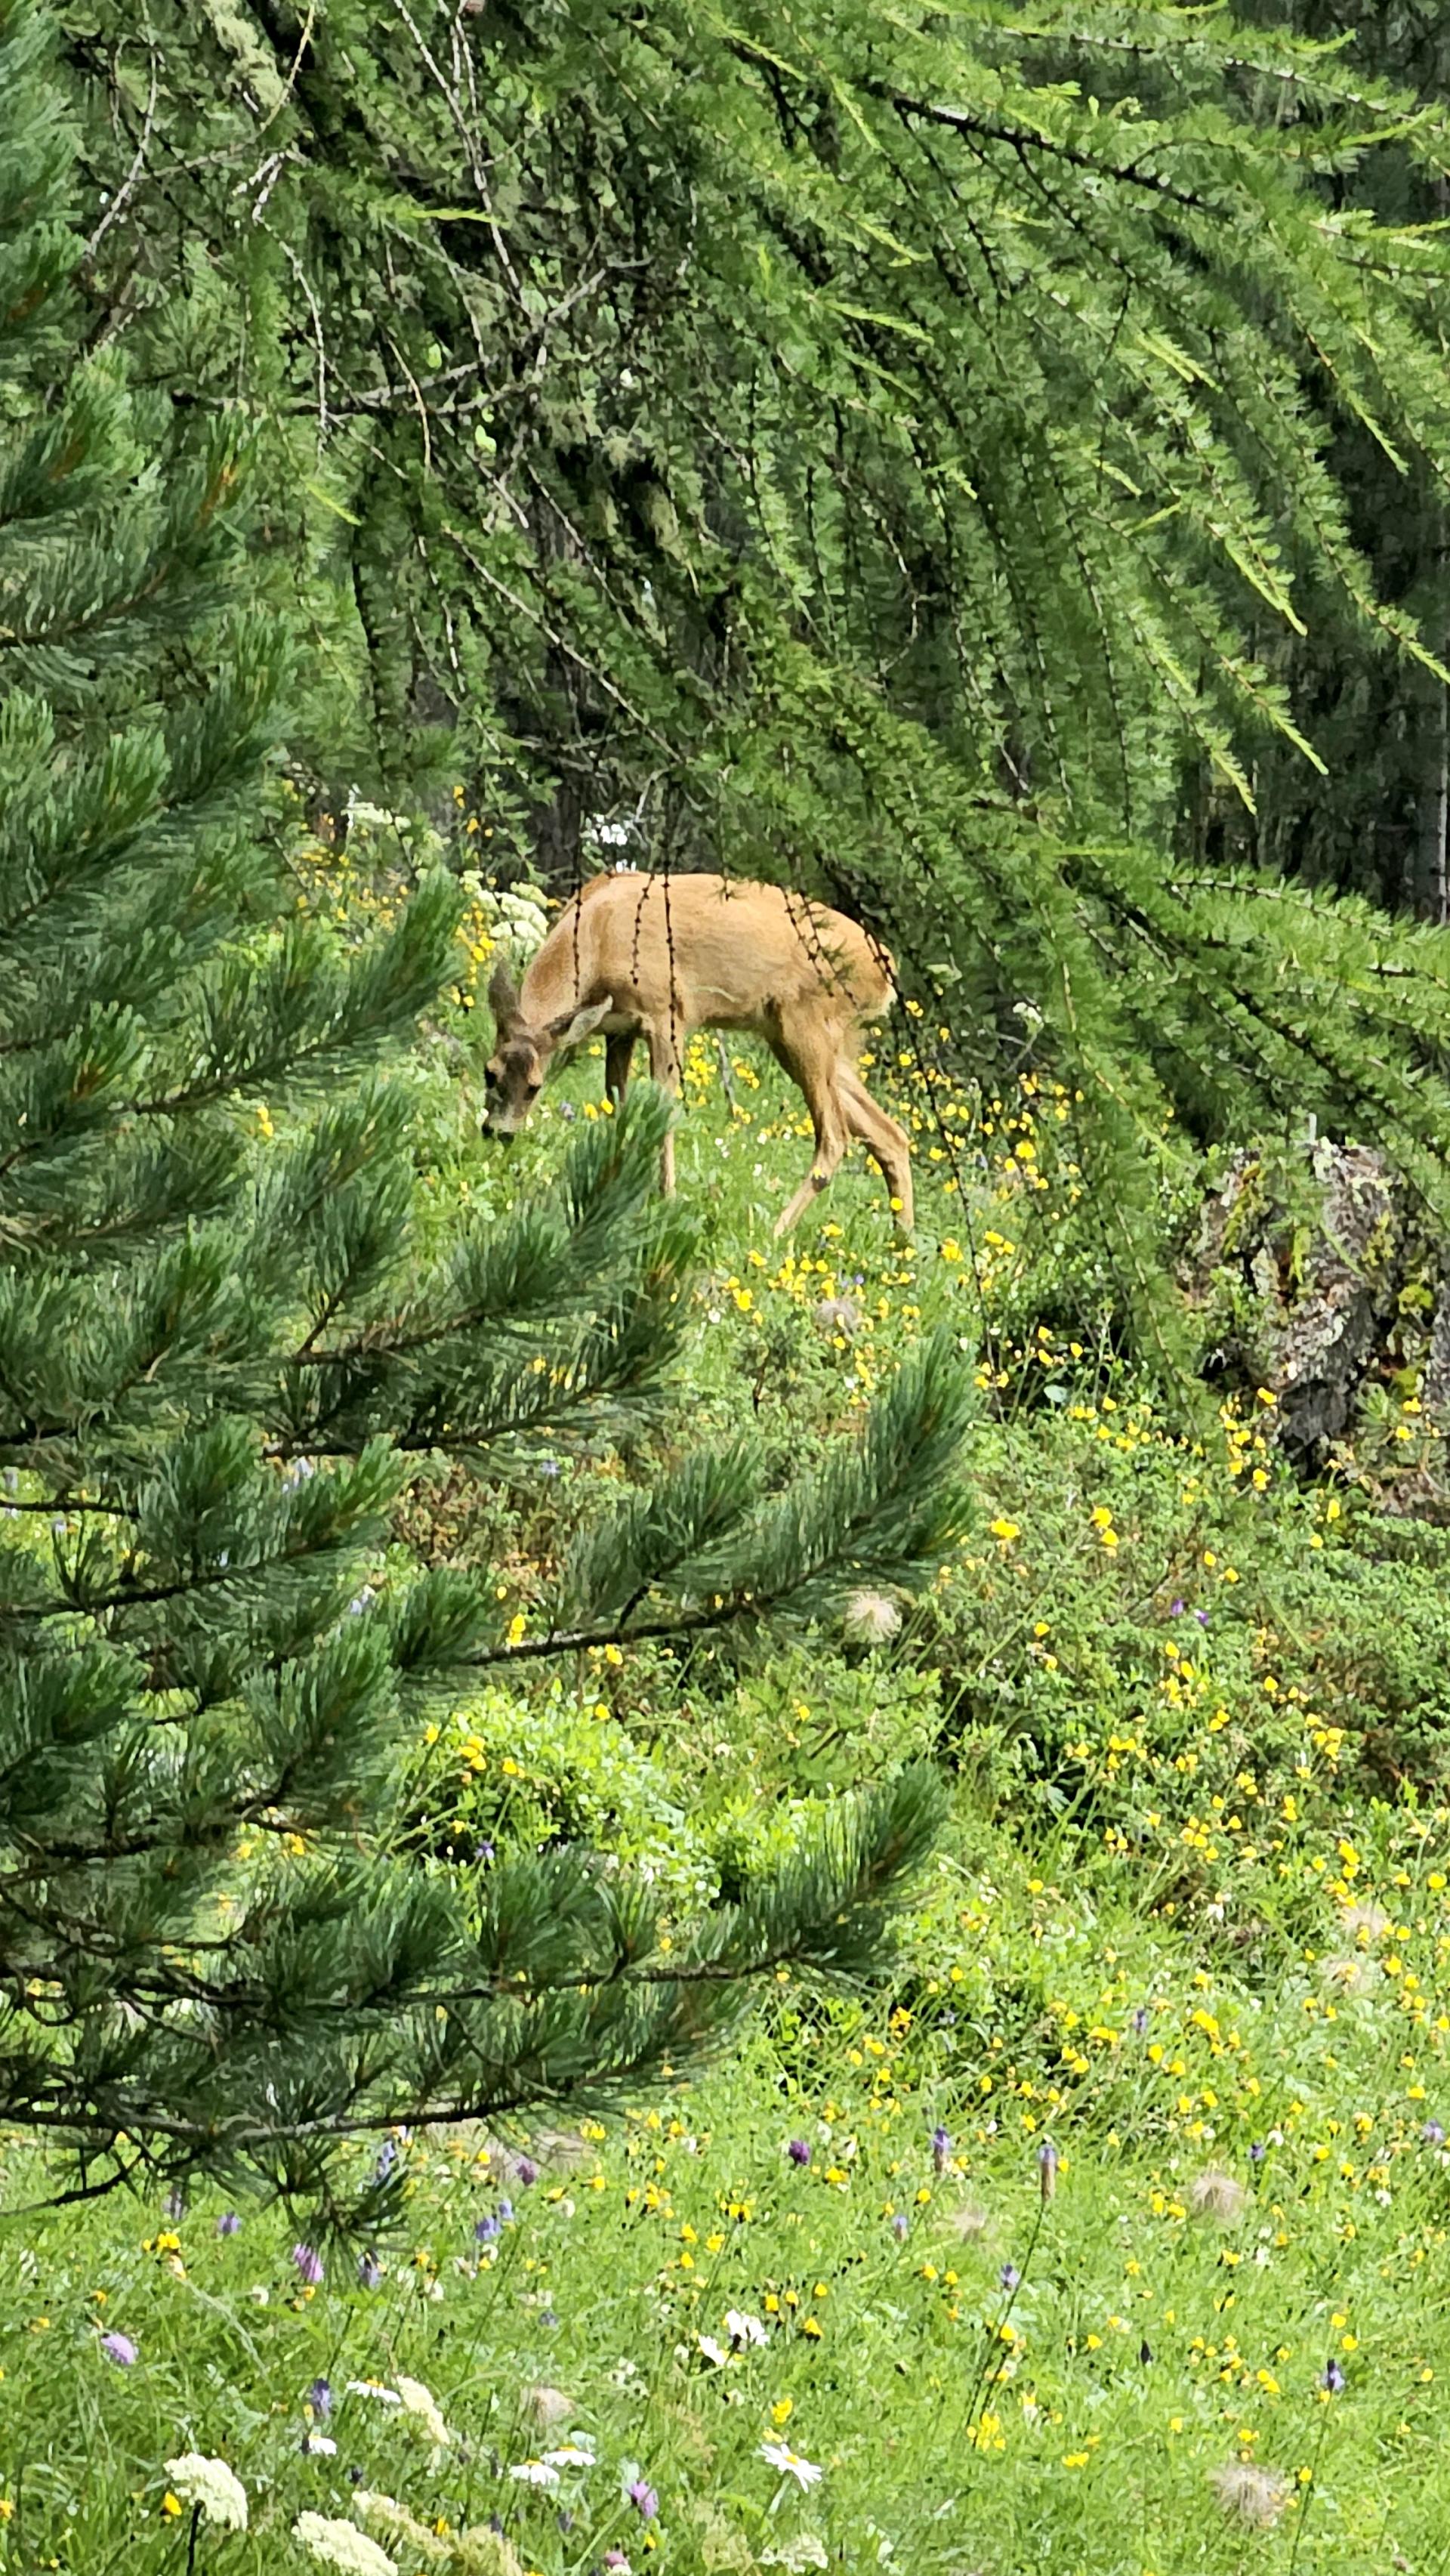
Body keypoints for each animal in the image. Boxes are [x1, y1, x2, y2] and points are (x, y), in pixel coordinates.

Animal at [481, 870, 912, 1241]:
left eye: (535, 1087)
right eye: (490, 1072)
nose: (498, 1133)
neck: (596, 936)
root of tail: (886, 972)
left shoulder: (667, 1012)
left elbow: (663, 1110)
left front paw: (666, 1198)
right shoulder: (620, 1029)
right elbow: (617, 1104)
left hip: (804, 1025)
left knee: (836, 1136)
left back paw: (774, 1233)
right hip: (817, 1042)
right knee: (889, 1133)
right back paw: (902, 1246)